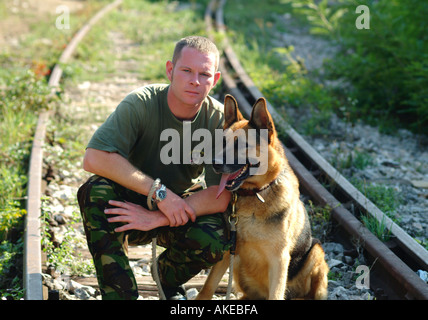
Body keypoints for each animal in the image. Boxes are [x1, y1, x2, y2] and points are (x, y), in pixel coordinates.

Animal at [196, 95, 330, 300]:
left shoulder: (280, 260)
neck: (254, 194)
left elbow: (276, 294)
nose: (214, 164)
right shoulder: (228, 250)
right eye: (222, 143)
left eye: (242, 145)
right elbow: (208, 286)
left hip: (316, 252)